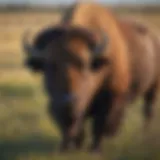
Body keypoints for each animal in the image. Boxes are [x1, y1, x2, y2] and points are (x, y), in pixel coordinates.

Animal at [22, 2, 160, 152]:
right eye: (49, 65)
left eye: (84, 64)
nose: (67, 103)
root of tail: (153, 39)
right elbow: (77, 128)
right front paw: (69, 147)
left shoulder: (109, 99)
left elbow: (99, 125)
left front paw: (95, 149)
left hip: (152, 89)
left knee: (147, 111)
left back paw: (143, 135)